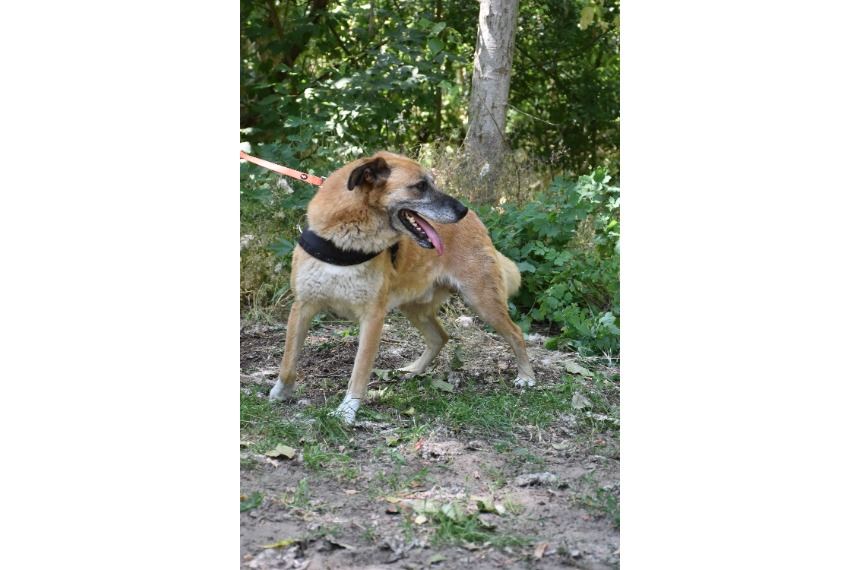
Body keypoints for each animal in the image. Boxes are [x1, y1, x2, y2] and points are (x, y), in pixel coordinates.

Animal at [269, 151, 536, 424]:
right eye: (420, 186)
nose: (463, 209)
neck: (345, 241)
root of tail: (478, 222)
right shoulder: (302, 307)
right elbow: (288, 361)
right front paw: (280, 393)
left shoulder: (373, 318)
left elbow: (359, 370)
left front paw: (347, 411)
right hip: (414, 307)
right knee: (440, 337)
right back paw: (414, 370)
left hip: (482, 301)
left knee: (516, 333)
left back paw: (526, 377)